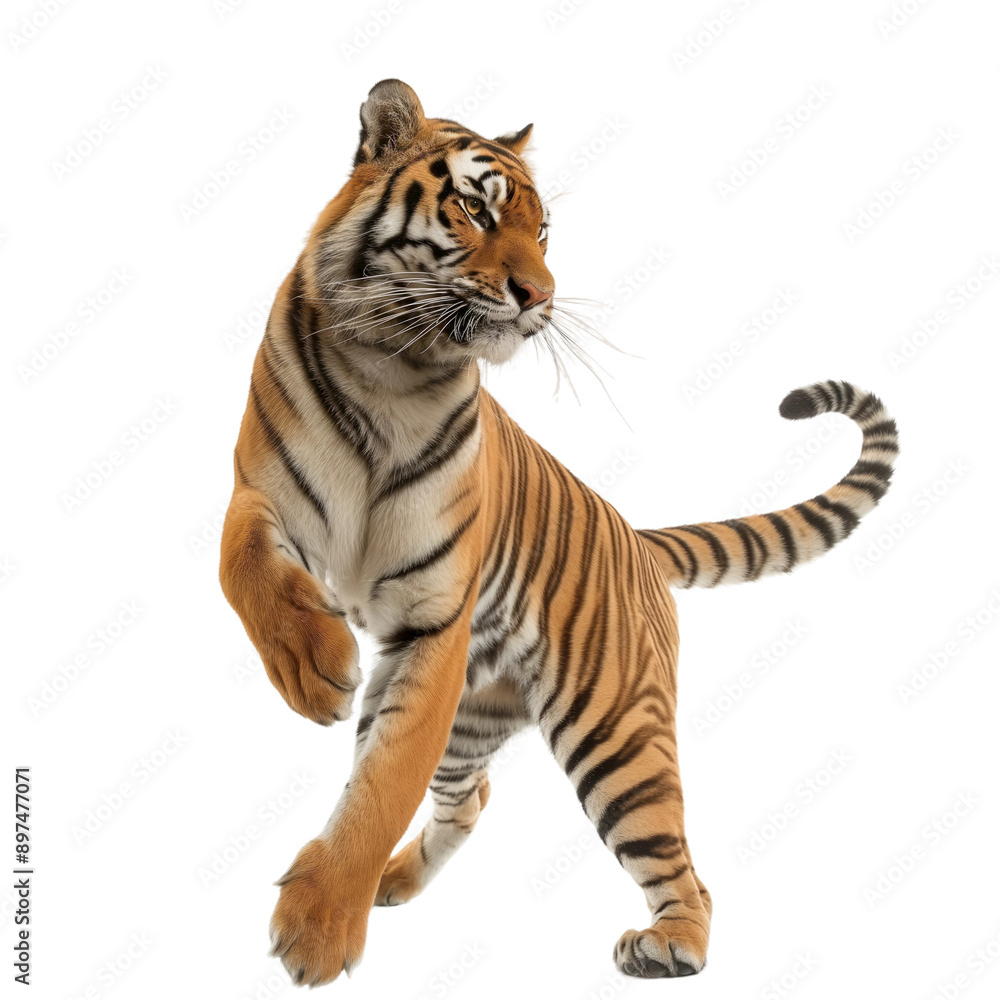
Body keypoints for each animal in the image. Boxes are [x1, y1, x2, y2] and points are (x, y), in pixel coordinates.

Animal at [219, 79, 899, 986]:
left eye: (542, 232)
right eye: (473, 209)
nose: (539, 296)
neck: (388, 367)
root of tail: (639, 537)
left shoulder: (435, 617)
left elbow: (385, 780)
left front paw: (319, 930)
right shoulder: (257, 494)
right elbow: (243, 568)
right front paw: (313, 669)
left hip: (615, 733)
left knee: (682, 865)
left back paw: (670, 945)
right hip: (476, 717)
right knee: (471, 797)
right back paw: (395, 884)